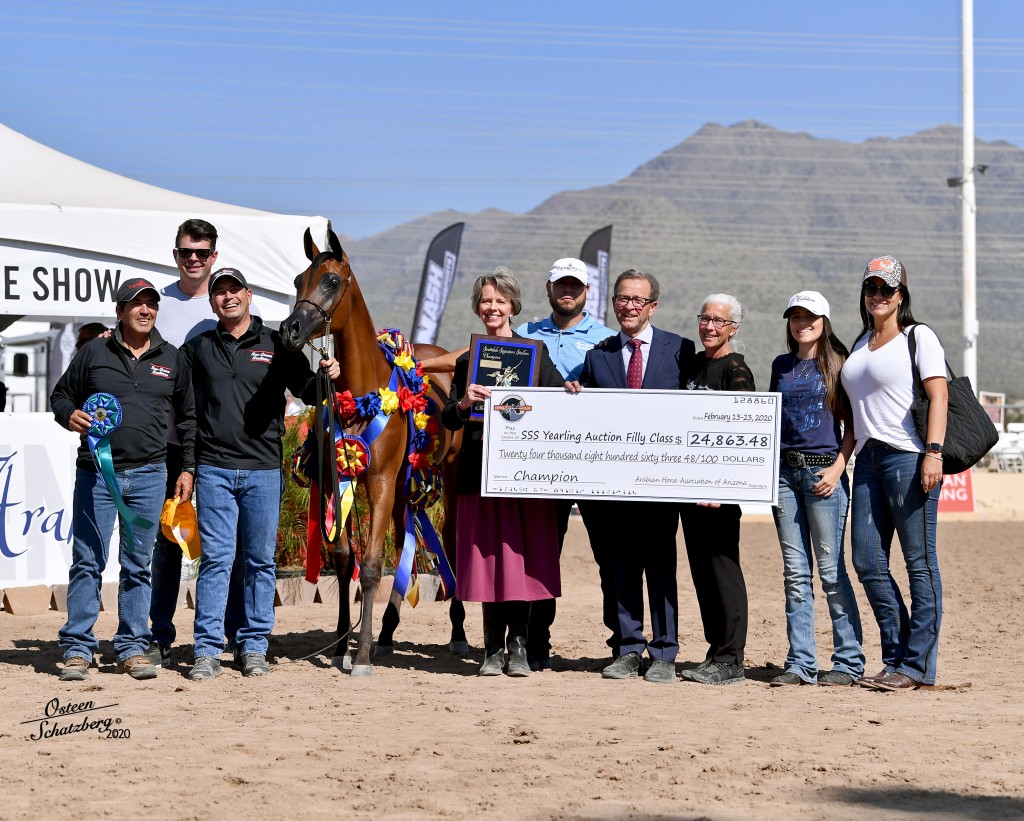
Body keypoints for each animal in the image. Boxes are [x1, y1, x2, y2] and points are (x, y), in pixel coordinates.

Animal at [279, 224, 467, 676]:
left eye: (331, 281)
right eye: (297, 280)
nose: (289, 330)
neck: (363, 393)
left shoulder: (378, 482)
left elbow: (369, 567)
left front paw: (360, 654)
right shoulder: (341, 478)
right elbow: (345, 559)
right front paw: (341, 645)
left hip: (443, 481)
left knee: (448, 544)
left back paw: (455, 633)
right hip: (402, 487)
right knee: (404, 548)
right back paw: (386, 633)